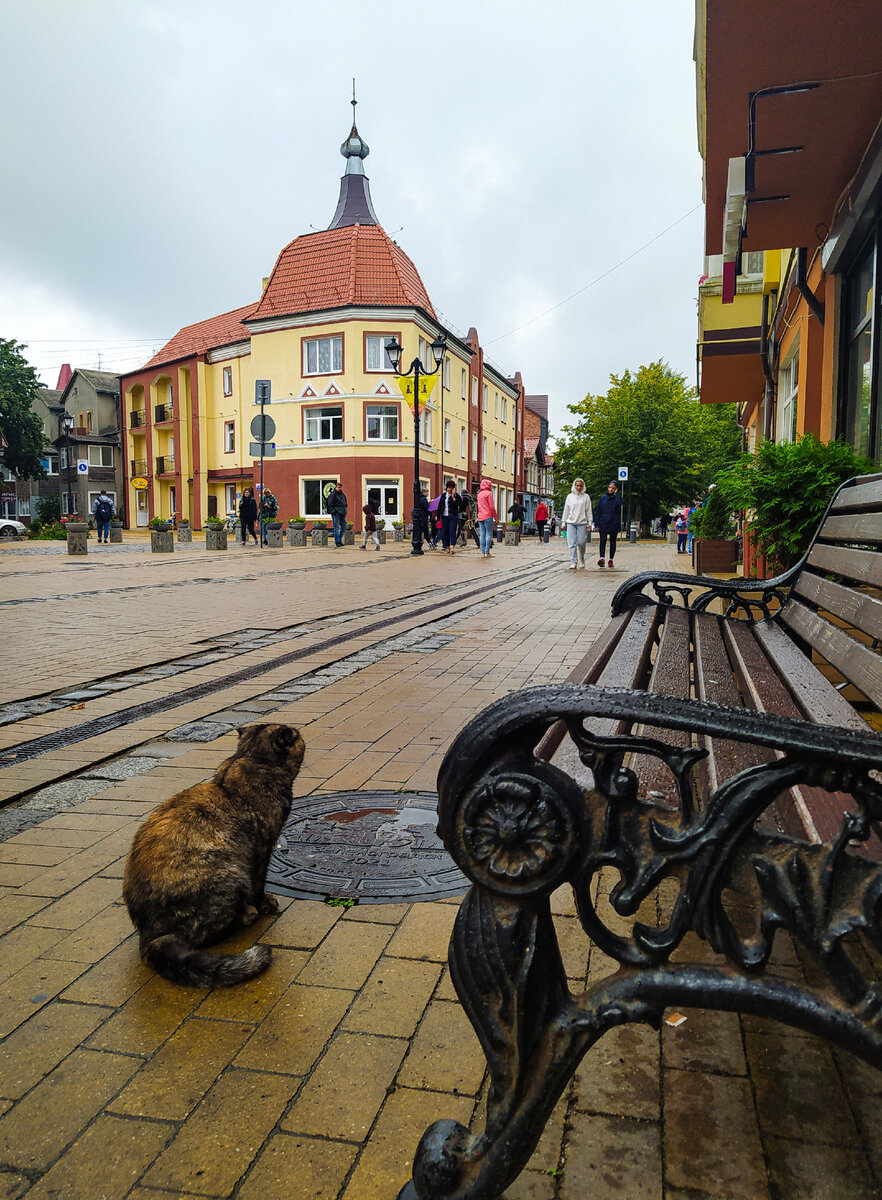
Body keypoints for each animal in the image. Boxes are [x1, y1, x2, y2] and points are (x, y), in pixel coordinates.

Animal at [122, 720, 304, 984]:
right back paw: (247, 914)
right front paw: (264, 904)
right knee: (202, 934)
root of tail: (148, 937)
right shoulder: (262, 848)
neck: (247, 758)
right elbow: (259, 884)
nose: (300, 734)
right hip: (230, 875)